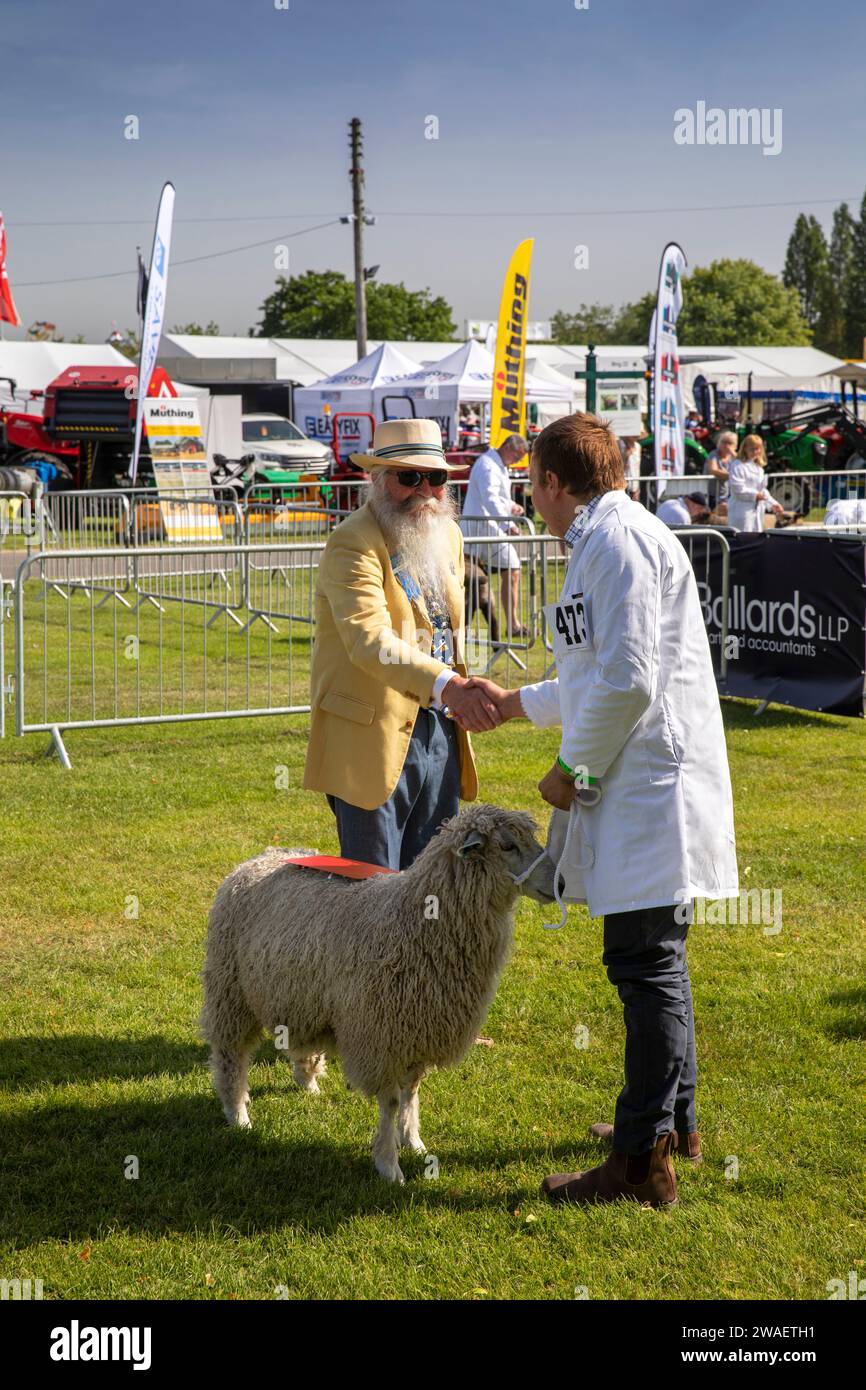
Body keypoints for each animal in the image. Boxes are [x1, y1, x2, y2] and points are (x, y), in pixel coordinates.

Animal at [200, 806, 556, 1184]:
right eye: (507, 845)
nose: (560, 884)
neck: (417, 921)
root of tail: (261, 856)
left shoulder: (418, 1028)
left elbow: (412, 1091)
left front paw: (413, 1140)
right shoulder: (382, 1035)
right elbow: (390, 1102)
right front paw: (389, 1164)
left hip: (298, 993)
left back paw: (307, 1081)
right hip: (230, 989)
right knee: (231, 1054)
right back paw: (238, 1113)